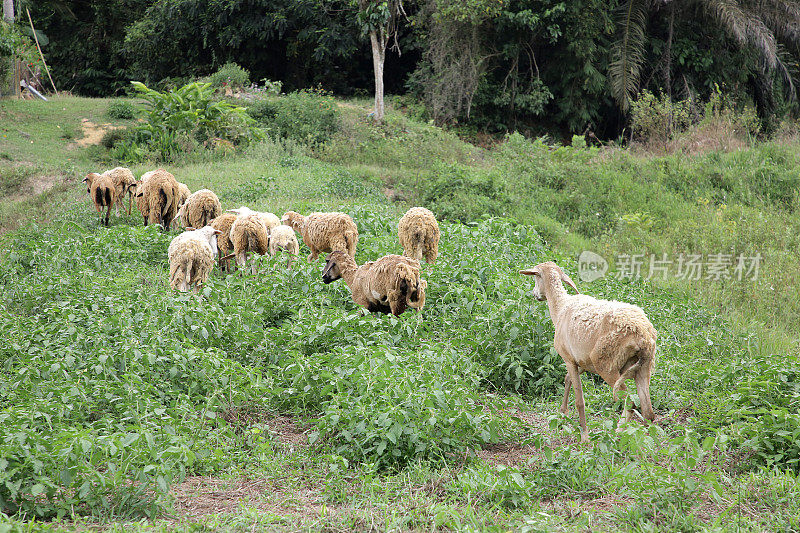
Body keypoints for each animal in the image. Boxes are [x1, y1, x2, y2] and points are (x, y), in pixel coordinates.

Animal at [520, 260, 656, 442]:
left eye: (536, 277)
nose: (535, 294)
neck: (560, 308)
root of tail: (642, 335)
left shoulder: (569, 359)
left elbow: (579, 400)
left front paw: (584, 435)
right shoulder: (583, 361)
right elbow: (567, 379)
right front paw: (562, 413)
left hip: (607, 364)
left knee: (630, 401)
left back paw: (618, 432)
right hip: (644, 366)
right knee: (648, 411)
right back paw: (647, 442)